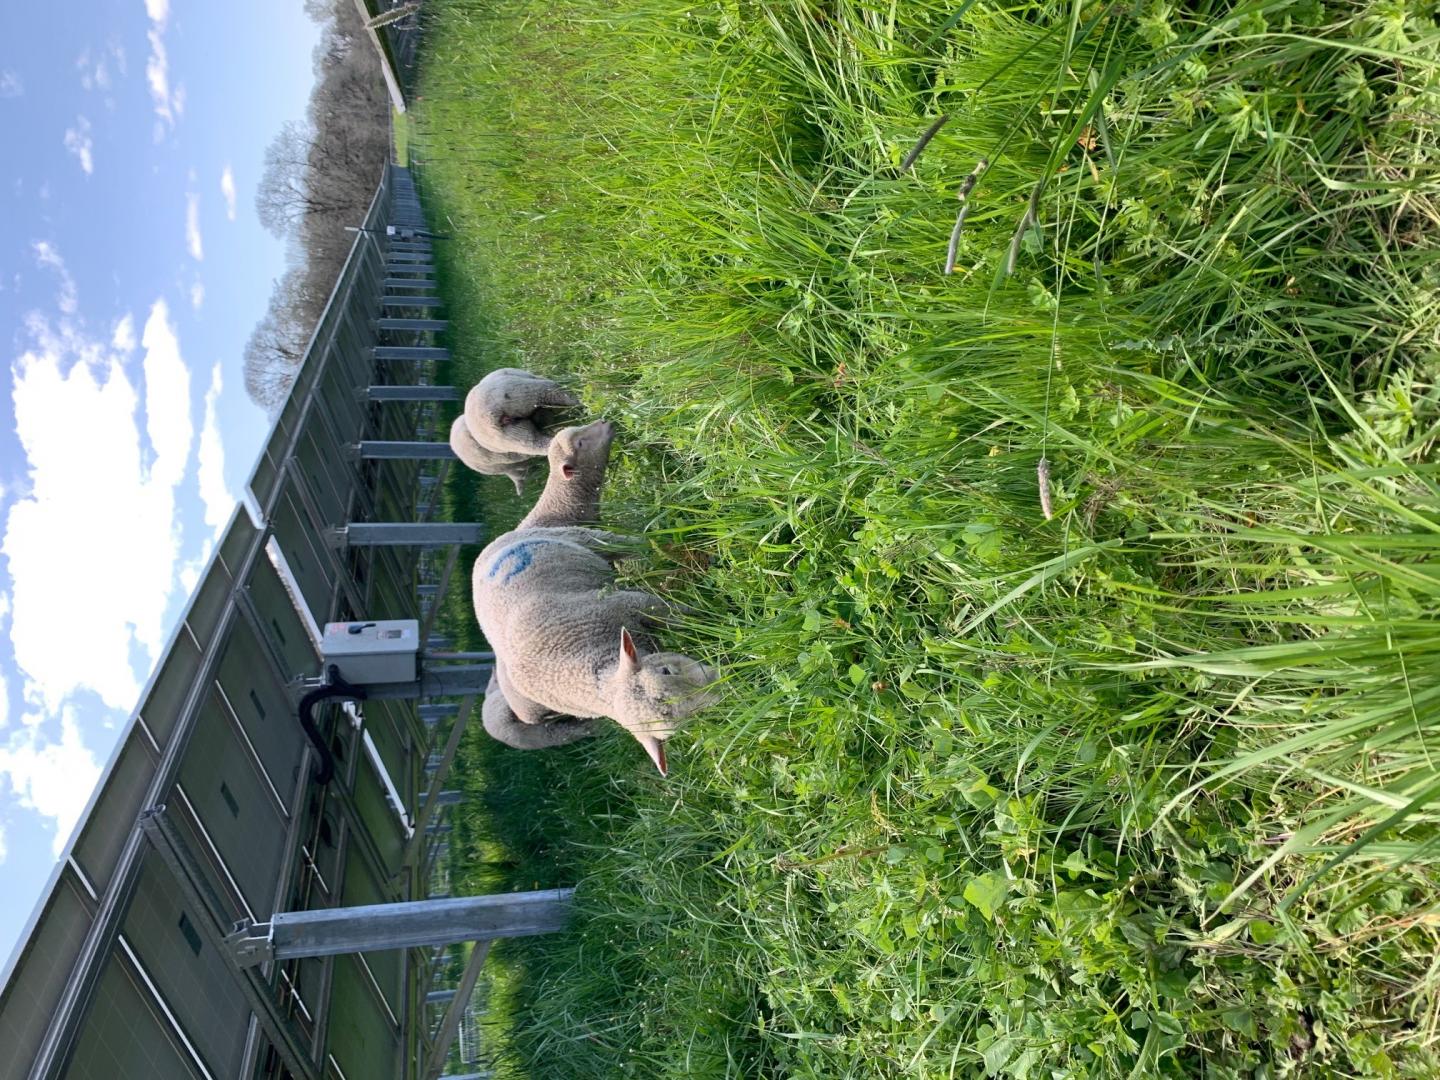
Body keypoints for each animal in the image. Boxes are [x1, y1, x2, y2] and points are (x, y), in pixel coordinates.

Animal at [472, 524, 719, 775]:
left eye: (665, 671)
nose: (718, 687)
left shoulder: (633, 603)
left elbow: (680, 616)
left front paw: (713, 614)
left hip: (580, 537)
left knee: (627, 544)